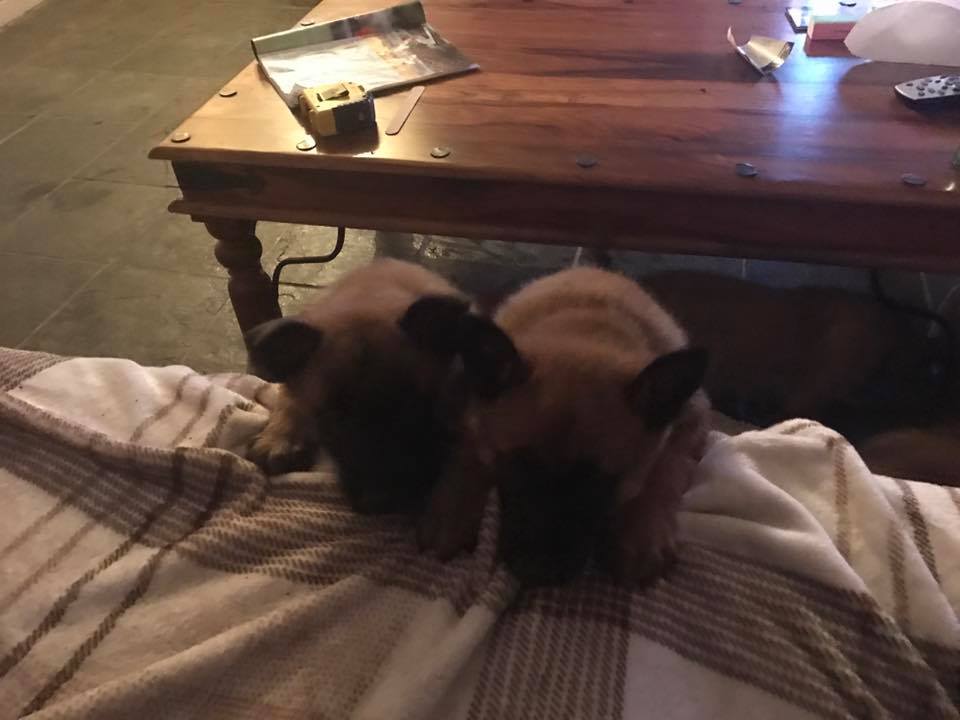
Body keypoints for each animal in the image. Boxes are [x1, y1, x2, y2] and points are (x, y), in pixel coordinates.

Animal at [246, 259, 472, 515]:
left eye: (414, 405)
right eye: (332, 418)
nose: (379, 502)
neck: (366, 294)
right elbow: (289, 397)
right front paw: (279, 435)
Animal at [419, 267, 710, 587]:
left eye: (597, 483)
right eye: (515, 467)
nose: (536, 573)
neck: (584, 329)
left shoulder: (690, 423)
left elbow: (665, 468)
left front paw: (644, 531)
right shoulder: (475, 405)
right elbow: (471, 446)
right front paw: (455, 505)